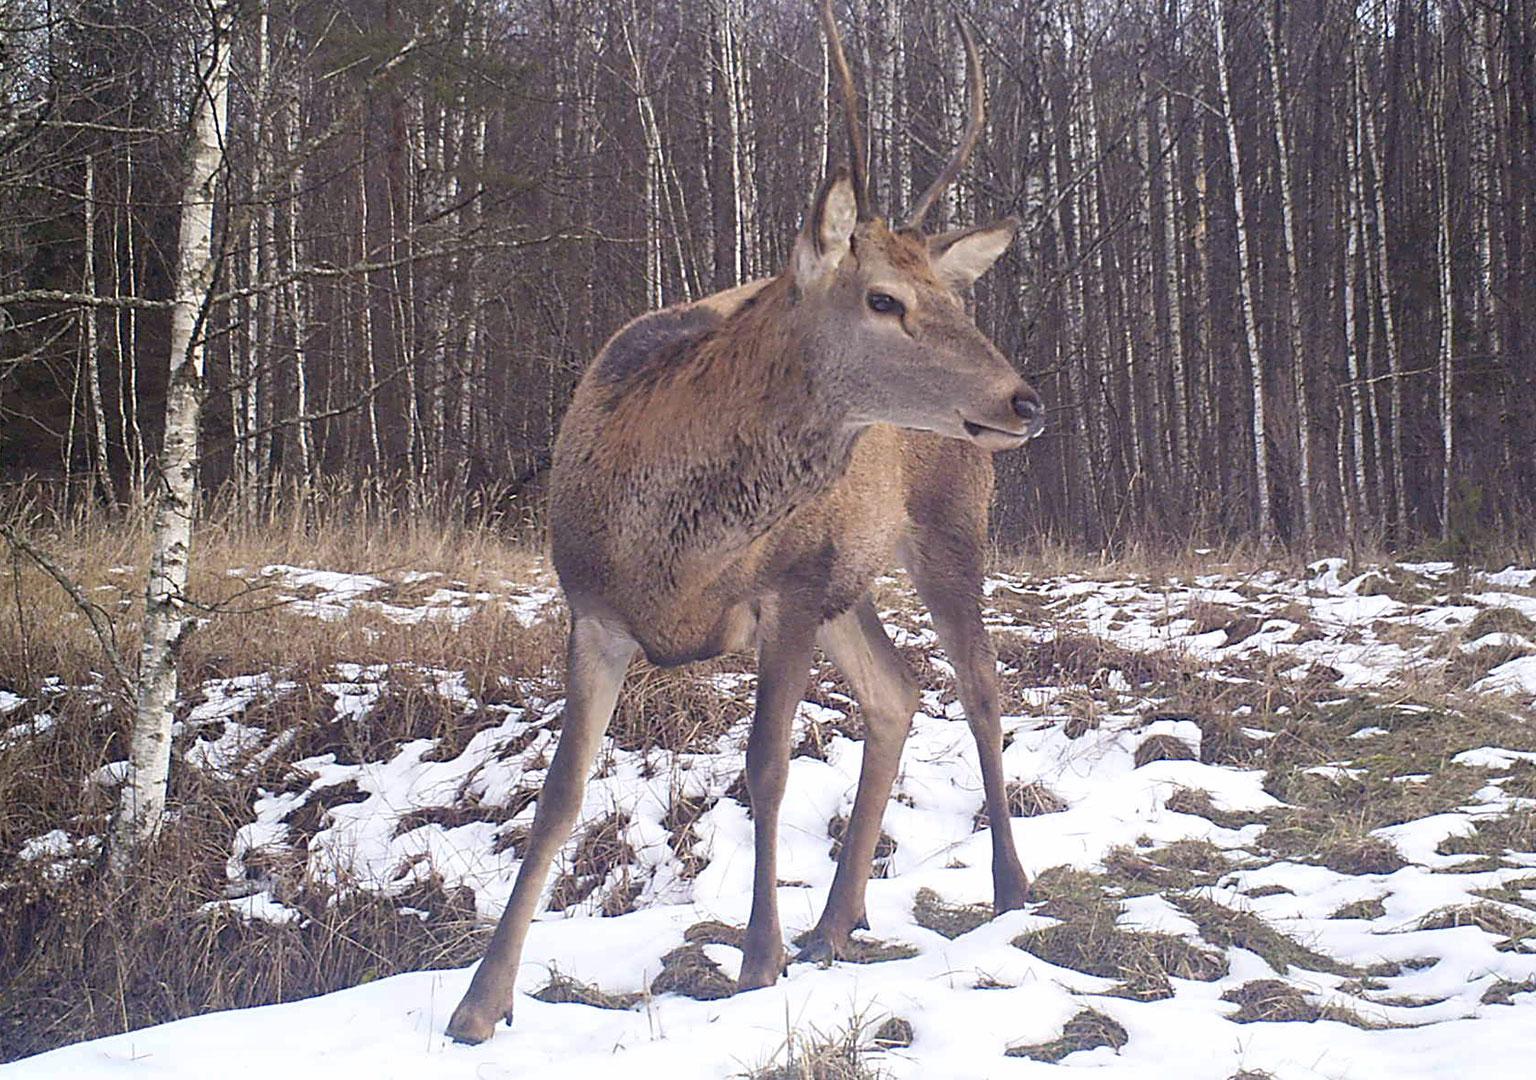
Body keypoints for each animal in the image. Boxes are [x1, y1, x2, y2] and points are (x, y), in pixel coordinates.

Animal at [445, 0, 1044, 1044]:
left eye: (953, 297)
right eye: (885, 298)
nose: (1024, 400)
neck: (672, 550)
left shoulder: (789, 591)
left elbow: (766, 767)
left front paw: (757, 960)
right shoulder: (590, 608)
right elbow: (559, 795)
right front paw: (479, 1005)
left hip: (944, 525)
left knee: (978, 686)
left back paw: (1007, 886)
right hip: (853, 572)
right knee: (897, 693)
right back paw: (836, 923)